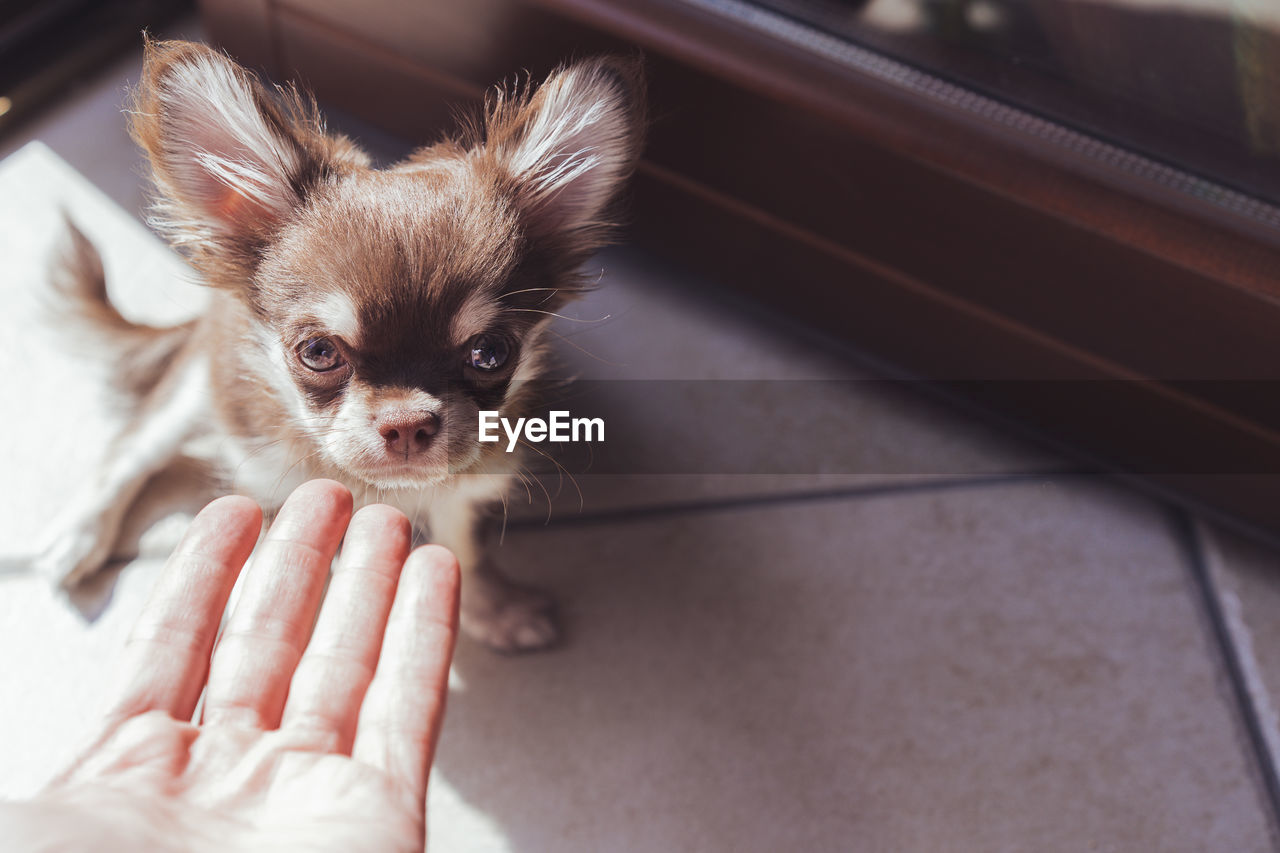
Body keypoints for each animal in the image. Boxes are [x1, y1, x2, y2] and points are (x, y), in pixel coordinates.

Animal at [35, 39, 645, 650]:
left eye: (491, 352)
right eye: (319, 352)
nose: (406, 424)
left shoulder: (458, 490)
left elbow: (459, 546)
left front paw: (489, 608)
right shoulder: (268, 484)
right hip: (197, 389)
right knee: (133, 449)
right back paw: (79, 537)